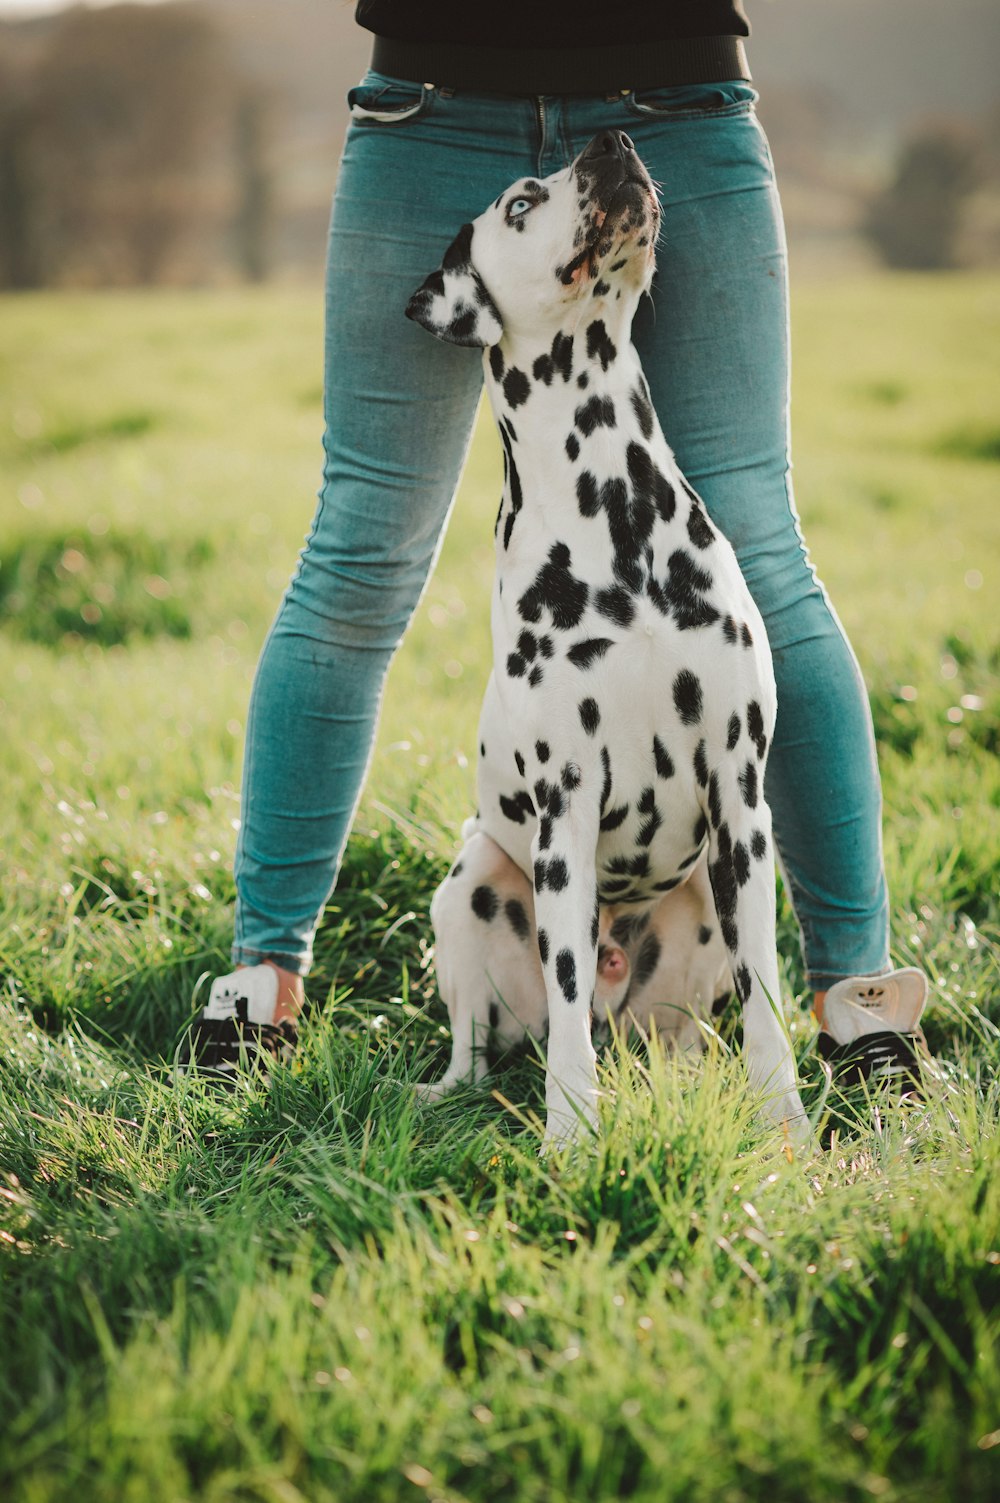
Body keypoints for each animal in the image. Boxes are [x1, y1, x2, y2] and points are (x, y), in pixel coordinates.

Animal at [403, 132, 806, 1148]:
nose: (610, 141)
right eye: (519, 202)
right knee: (496, 1042)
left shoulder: (741, 800)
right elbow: (567, 1012)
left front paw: (785, 1124)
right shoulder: (566, 812)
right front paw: (571, 1135)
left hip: (704, 910)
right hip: (470, 881)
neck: (617, 513)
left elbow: (768, 997)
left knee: (702, 1031)